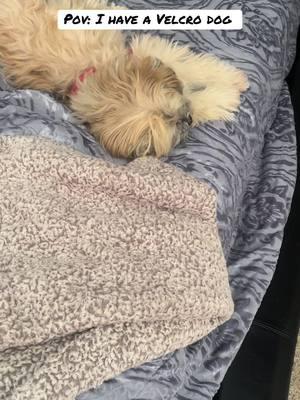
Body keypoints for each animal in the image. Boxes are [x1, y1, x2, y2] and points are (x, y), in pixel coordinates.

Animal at [0, 0, 248, 159]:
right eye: (169, 123)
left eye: (172, 112)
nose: (186, 119)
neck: (94, 72)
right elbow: (198, 96)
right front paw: (224, 96)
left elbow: (195, 67)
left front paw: (235, 81)